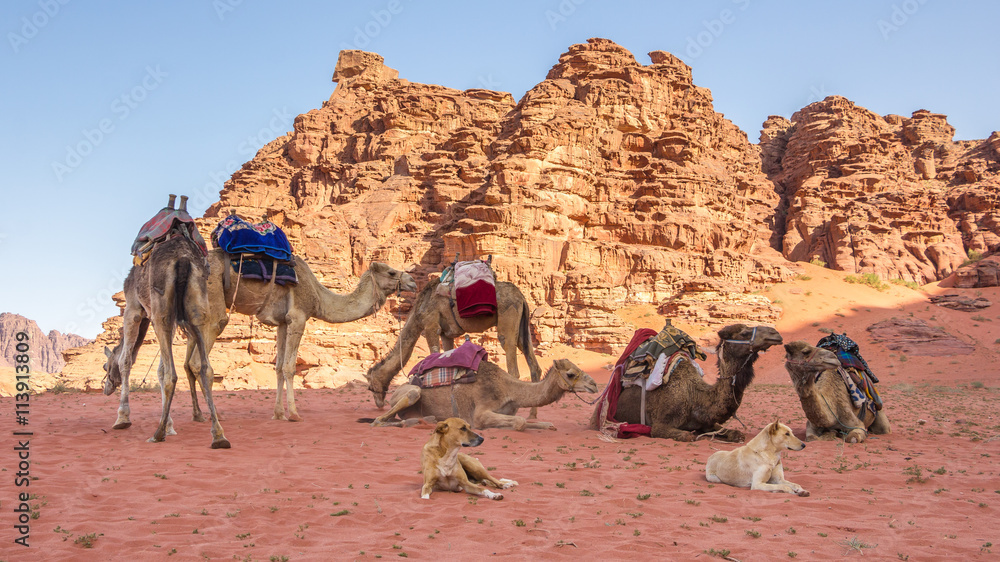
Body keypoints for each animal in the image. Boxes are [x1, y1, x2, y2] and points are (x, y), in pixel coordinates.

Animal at [102, 236, 229, 448]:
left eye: (105, 366)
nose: (106, 389)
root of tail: (183, 259)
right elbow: (159, 368)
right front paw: (169, 424)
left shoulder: (133, 309)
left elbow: (126, 360)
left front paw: (122, 418)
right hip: (199, 305)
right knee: (205, 368)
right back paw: (219, 435)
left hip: (161, 311)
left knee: (171, 374)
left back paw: (157, 433)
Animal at [363, 358, 598, 431]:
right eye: (571, 373)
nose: (594, 385)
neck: (510, 390)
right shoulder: (481, 413)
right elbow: (520, 422)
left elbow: (544, 424)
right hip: (411, 392)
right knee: (379, 419)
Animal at [365, 275, 541, 409]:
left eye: (371, 386)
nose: (379, 404)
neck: (418, 311)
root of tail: (521, 297)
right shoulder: (446, 333)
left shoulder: (431, 326)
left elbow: (433, 356)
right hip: (522, 327)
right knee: (532, 362)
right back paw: (532, 415)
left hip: (508, 317)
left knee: (512, 365)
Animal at [594, 324, 784, 442]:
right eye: (744, 333)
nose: (775, 334)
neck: (696, 398)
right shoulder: (659, 425)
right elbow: (688, 435)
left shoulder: (708, 422)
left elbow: (737, 434)